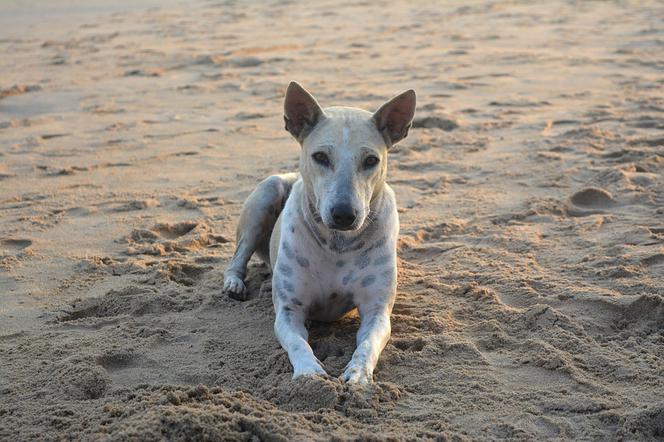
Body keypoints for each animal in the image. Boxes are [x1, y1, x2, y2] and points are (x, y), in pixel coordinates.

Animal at [226, 82, 418, 384]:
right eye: (320, 157)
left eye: (371, 160)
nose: (344, 214)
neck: (338, 244)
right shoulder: (289, 311)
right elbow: (298, 343)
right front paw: (309, 373)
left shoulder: (376, 309)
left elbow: (368, 343)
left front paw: (358, 375)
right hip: (265, 196)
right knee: (239, 254)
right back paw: (234, 283)